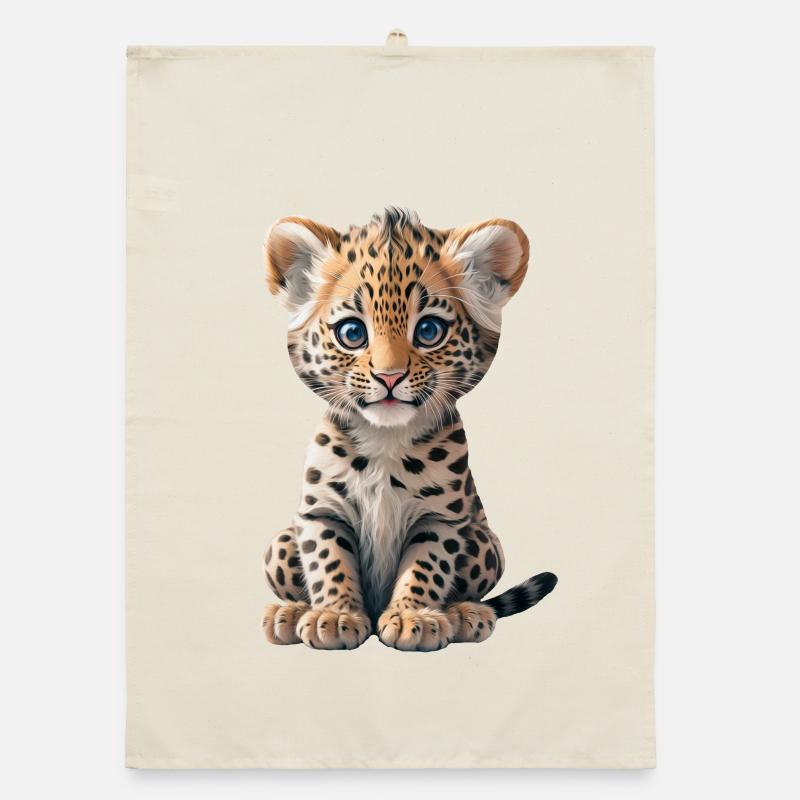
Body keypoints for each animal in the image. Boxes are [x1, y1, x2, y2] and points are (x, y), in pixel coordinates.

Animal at [260, 207, 557, 652]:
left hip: (486, 543)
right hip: (279, 543)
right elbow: (328, 559)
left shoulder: (441, 516)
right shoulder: (321, 510)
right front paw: (335, 616)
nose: (389, 377)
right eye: (352, 333)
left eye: (429, 330)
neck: (384, 441)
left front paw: (411, 617)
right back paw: (291, 612)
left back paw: (466, 614)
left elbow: (427, 564)